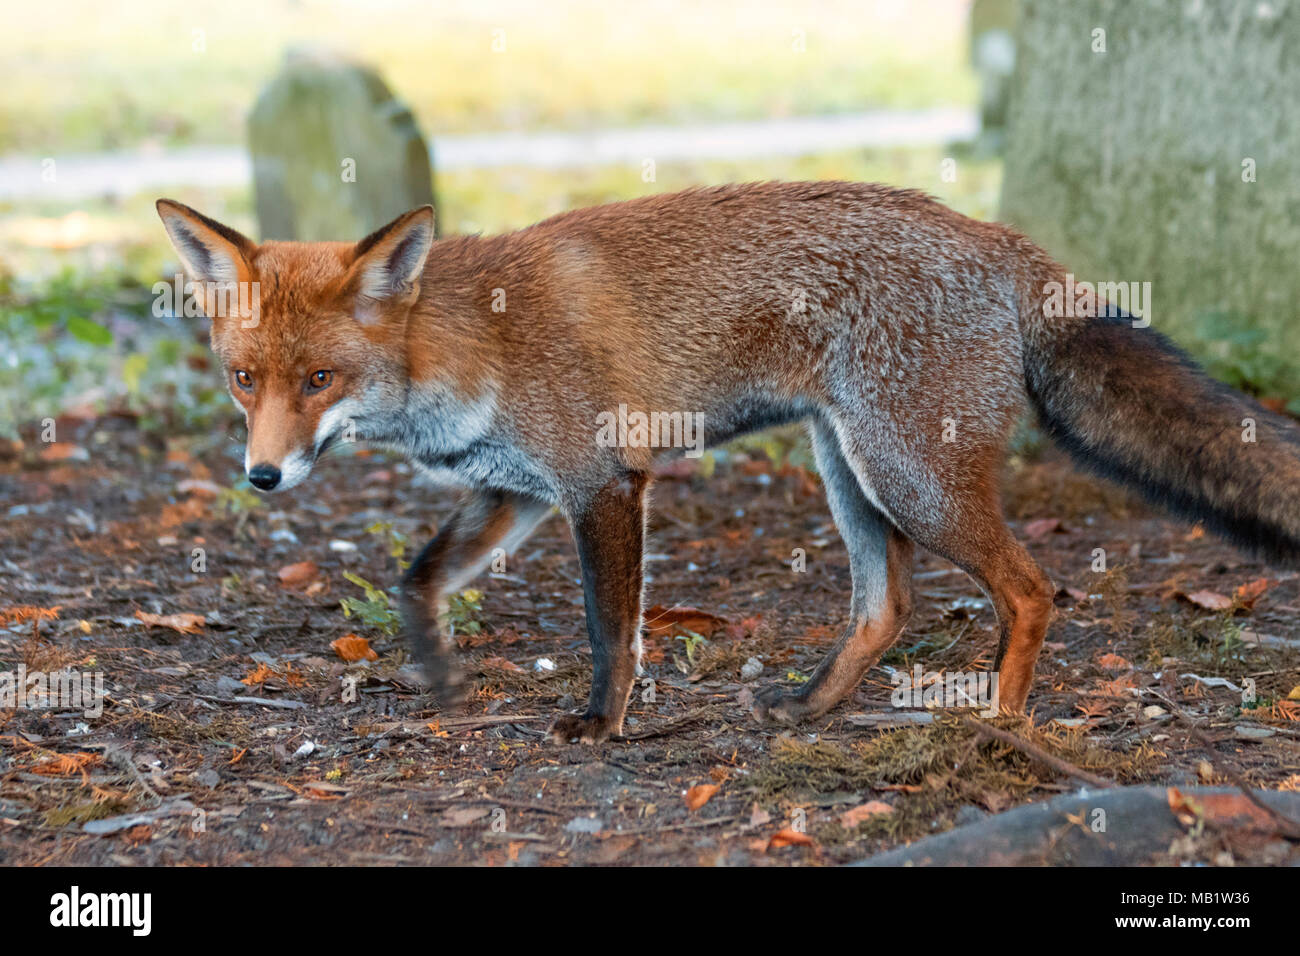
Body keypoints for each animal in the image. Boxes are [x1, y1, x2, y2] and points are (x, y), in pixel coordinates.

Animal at [159, 183, 1300, 743]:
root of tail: (997, 237)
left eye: (318, 378)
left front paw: (602, 723)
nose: (262, 478)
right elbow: (417, 576)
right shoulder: (516, 487)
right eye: (242, 380)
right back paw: (810, 709)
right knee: (888, 602)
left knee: (1029, 588)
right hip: (848, 464)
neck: (468, 344)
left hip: (909, 473)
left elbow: (611, 632)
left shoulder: (603, 485)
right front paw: (438, 673)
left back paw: (1004, 727)